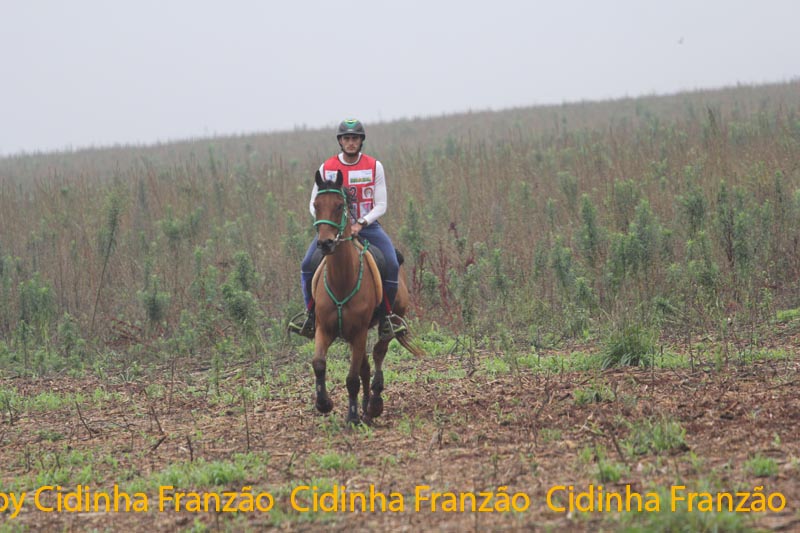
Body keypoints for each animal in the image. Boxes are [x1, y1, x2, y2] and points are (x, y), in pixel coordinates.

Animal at [310, 169, 423, 424]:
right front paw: (324, 403)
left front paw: (352, 417)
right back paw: (365, 407)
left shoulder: (359, 332)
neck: (342, 281)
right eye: (316, 205)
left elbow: (352, 378)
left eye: (339, 205)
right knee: (365, 366)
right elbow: (319, 363)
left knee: (378, 354)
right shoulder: (324, 328)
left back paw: (374, 405)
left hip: (388, 321)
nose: (325, 243)